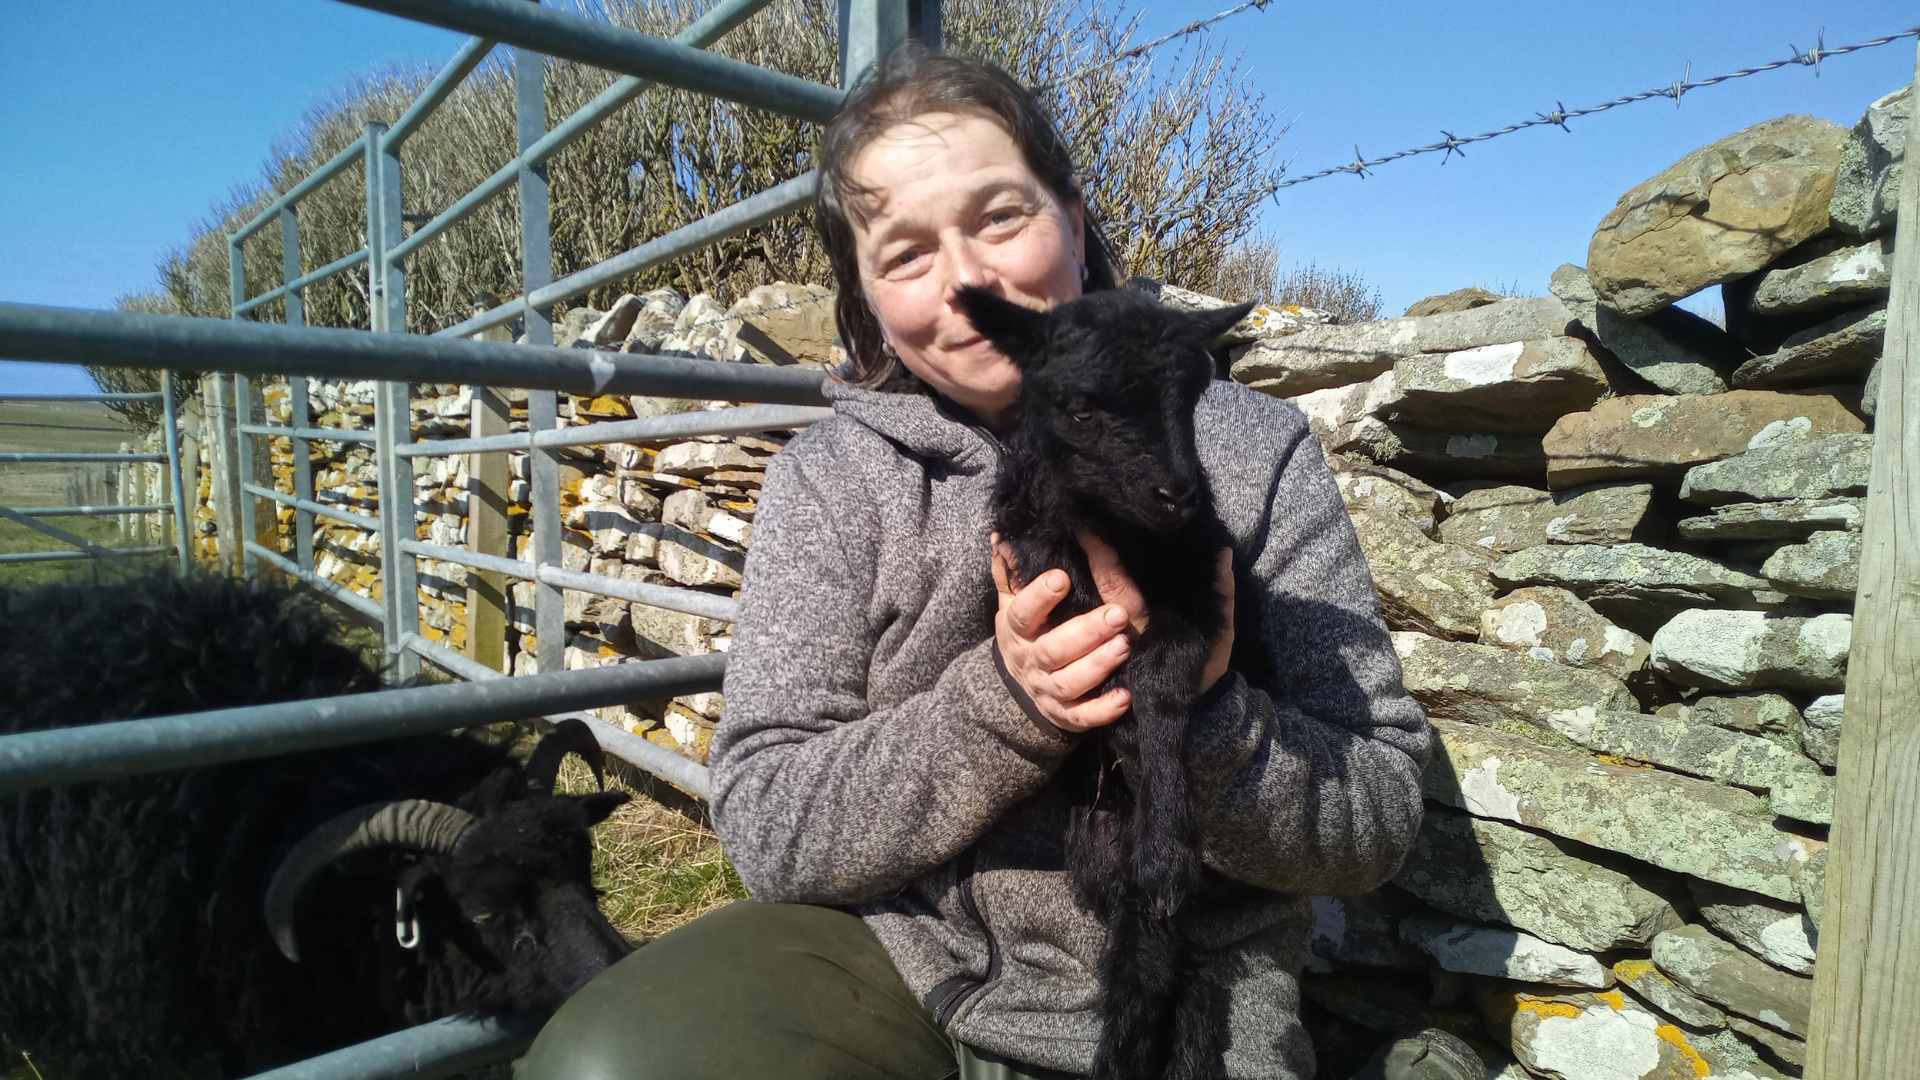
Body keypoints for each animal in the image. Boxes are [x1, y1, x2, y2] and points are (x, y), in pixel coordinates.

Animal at [959, 285, 1254, 1080]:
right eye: (1081, 407)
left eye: (1193, 396)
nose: (1178, 494)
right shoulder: (1038, 563)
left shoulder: (1199, 589)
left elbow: (1159, 681)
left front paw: (1168, 850)